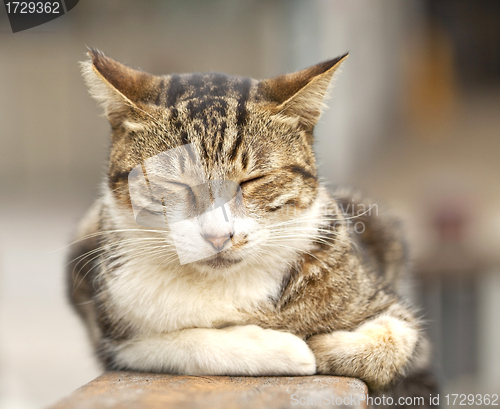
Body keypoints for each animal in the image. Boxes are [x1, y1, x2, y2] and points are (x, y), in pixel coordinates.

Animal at [67, 49, 438, 404]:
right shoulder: (114, 337)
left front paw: (322, 346)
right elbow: (181, 343)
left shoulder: (393, 310)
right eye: (176, 184)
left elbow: (397, 338)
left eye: (252, 180)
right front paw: (290, 349)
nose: (217, 236)